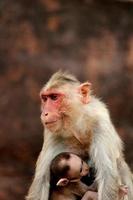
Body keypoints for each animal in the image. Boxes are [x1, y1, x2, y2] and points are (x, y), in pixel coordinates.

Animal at [26, 70, 133, 200]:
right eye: (45, 99)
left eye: (54, 97)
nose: (45, 113)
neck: (77, 128)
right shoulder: (52, 134)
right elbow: (41, 182)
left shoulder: (100, 123)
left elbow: (107, 176)